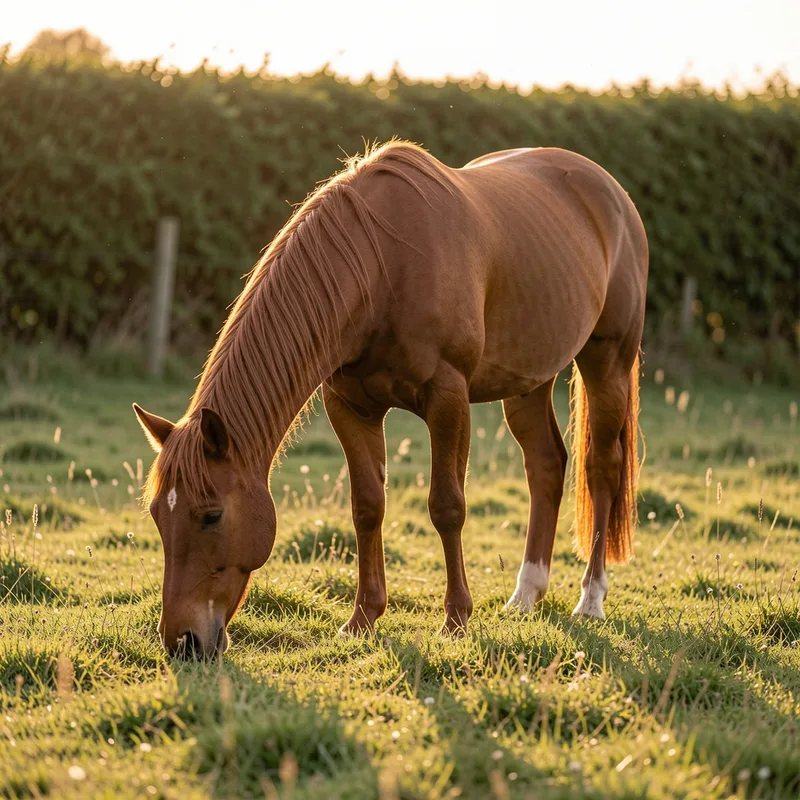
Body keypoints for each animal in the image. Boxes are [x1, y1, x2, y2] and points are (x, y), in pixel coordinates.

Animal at [133, 140, 647, 659]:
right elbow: (367, 507)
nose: (182, 642)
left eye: (211, 516)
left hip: (607, 363)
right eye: (157, 514)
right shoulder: (349, 406)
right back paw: (525, 595)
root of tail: (611, 191)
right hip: (529, 380)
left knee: (601, 468)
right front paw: (363, 618)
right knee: (545, 465)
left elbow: (447, 506)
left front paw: (456, 619)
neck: (381, 266)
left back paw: (590, 599)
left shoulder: (448, 397)